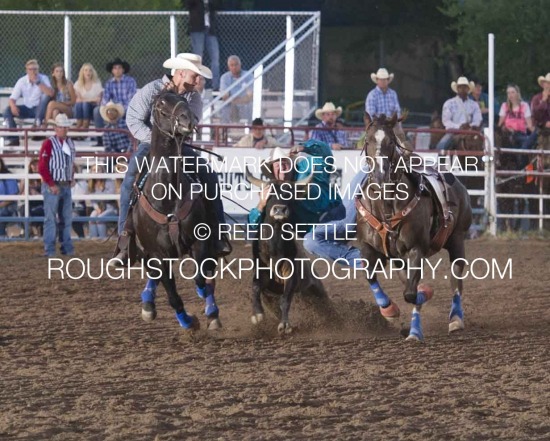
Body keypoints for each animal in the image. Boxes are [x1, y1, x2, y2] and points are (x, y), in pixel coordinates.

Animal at [358, 113, 474, 340]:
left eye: (391, 142)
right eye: (367, 141)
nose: (380, 176)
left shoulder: (416, 249)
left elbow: (412, 294)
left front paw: (414, 331)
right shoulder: (368, 248)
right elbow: (370, 277)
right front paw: (389, 310)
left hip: (457, 239)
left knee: (456, 279)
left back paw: (456, 319)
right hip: (399, 259)